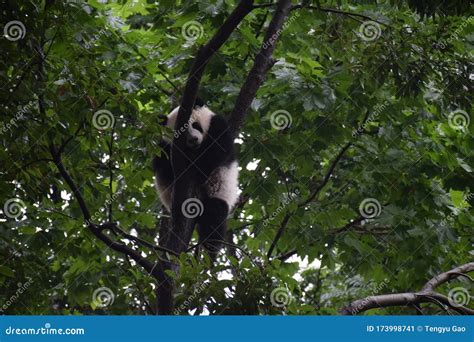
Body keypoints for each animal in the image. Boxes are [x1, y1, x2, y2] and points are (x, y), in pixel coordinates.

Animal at [153, 100, 239, 258]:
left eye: (195, 125)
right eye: (180, 132)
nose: (193, 140)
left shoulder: (217, 126)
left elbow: (214, 154)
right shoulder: (164, 147)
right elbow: (162, 164)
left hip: (219, 194)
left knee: (215, 213)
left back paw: (211, 247)